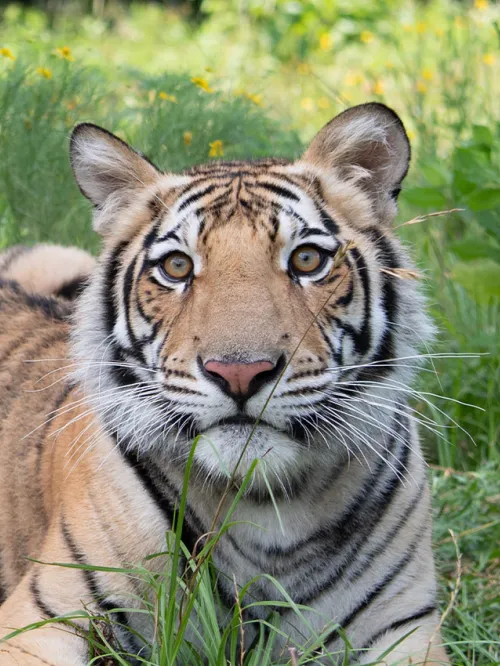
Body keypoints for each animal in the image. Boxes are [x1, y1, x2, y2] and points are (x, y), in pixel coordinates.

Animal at [0, 101, 452, 660]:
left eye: (307, 260)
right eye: (177, 266)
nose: (240, 372)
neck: (271, 509)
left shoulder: (403, 627)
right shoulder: (41, 620)